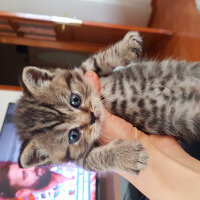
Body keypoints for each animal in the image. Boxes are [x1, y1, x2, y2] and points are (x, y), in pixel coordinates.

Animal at [15, 31, 200, 175]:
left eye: (75, 100)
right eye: (73, 135)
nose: (92, 117)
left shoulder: (84, 71)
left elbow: (96, 61)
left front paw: (125, 48)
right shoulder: (81, 159)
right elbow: (95, 160)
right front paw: (128, 156)